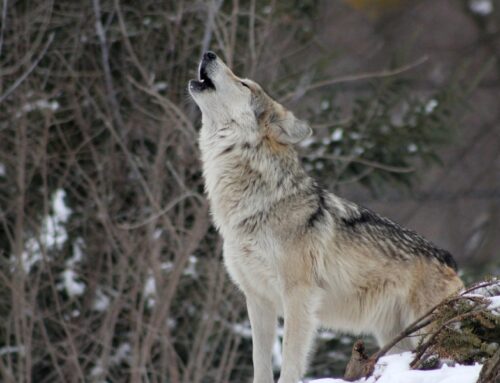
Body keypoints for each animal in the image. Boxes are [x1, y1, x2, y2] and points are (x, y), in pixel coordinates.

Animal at [188, 51, 464, 383]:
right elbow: (260, 363)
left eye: (244, 83)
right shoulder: (257, 299)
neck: (255, 204)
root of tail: (448, 258)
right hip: (394, 337)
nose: (209, 53)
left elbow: (290, 360)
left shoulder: (299, 295)